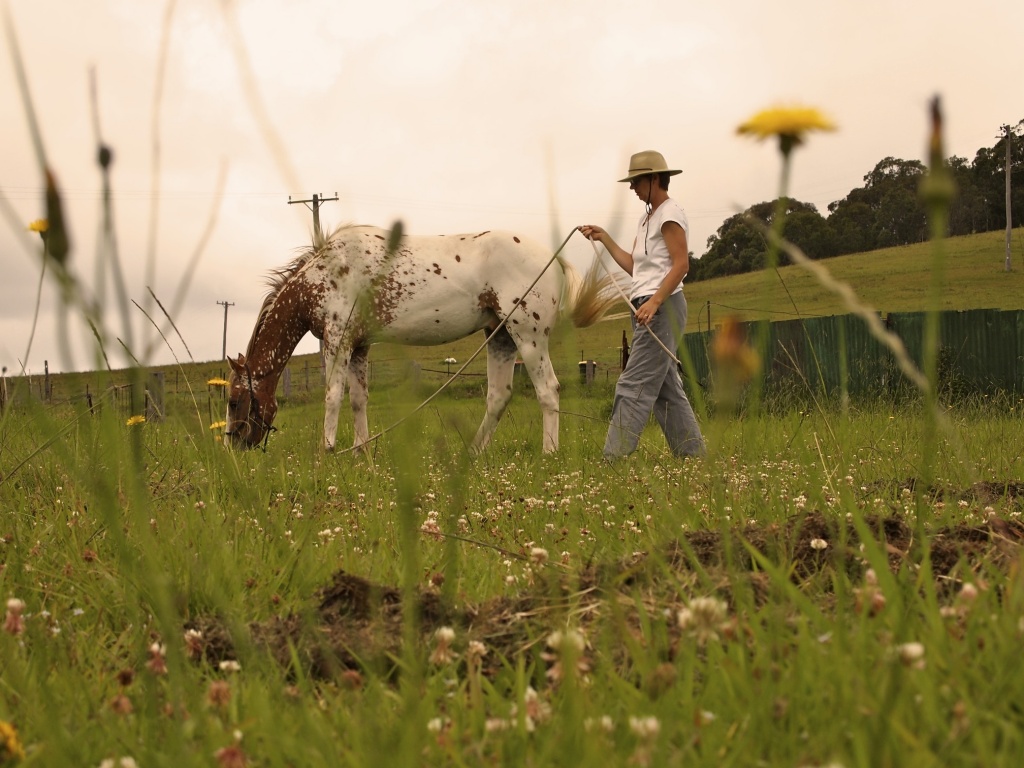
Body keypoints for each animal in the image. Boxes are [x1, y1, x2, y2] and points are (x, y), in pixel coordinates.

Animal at [226, 227, 614, 456]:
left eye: (233, 401)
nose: (235, 445)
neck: (324, 275)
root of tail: (553, 257)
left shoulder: (338, 342)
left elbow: (332, 398)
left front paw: (328, 451)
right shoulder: (359, 347)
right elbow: (358, 400)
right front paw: (361, 452)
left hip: (528, 337)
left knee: (548, 390)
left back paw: (549, 453)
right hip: (500, 336)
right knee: (498, 397)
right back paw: (472, 453)